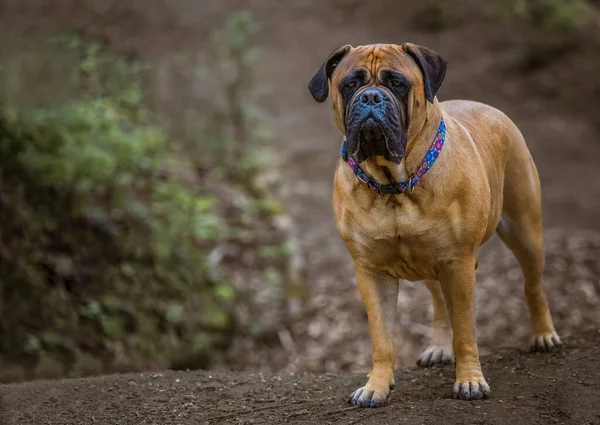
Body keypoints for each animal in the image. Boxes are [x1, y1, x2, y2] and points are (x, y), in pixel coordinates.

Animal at [310, 42, 564, 404]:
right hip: (431, 261)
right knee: (440, 302)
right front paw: (376, 386)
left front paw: (470, 380)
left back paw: (544, 335)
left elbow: (466, 331)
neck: (394, 185)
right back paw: (440, 348)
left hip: (524, 230)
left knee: (533, 284)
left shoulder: (457, 263)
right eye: (350, 84)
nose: (371, 97)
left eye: (397, 83)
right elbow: (381, 336)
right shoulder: (371, 272)